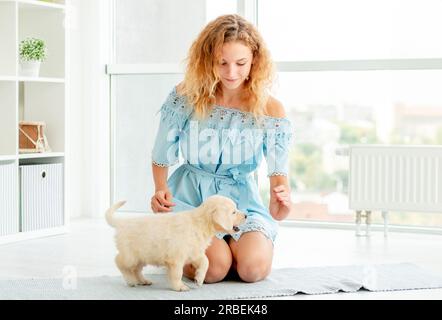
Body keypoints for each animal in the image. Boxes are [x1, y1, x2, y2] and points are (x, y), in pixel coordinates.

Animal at [106, 194, 247, 292]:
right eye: (233, 212)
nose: (246, 215)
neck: (200, 223)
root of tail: (122, 223)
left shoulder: (194, 252)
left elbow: (205, 262)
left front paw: (199, 279)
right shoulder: (176, 258)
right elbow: (177, 273)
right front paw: (179, 287)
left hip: (142, 256)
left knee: (136, 269)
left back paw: (142, 281)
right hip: (131, 255)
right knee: (119, 262)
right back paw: (130, 280)